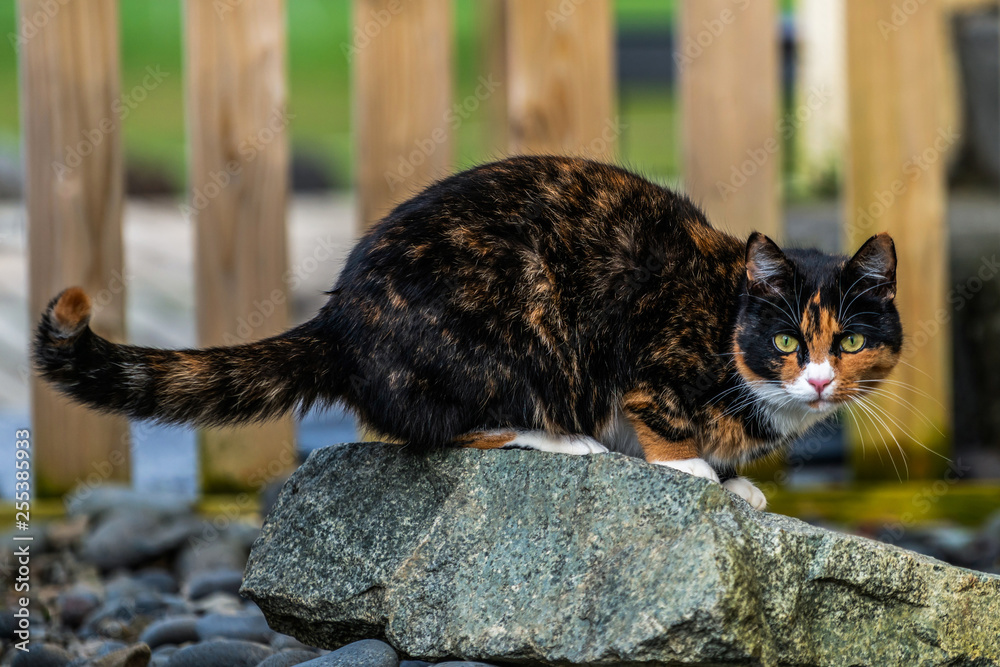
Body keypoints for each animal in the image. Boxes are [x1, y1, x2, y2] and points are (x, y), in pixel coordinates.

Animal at [35, 157, 904, 512]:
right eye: (787, 341)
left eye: (849, 343)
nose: (818, 378)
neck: (726, 322)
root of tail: (339, 318)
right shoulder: (647, 346)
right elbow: (657, 412)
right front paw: (695, 469)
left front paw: (736, 482)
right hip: (514, 321)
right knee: (439, 429)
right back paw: (563, 439)